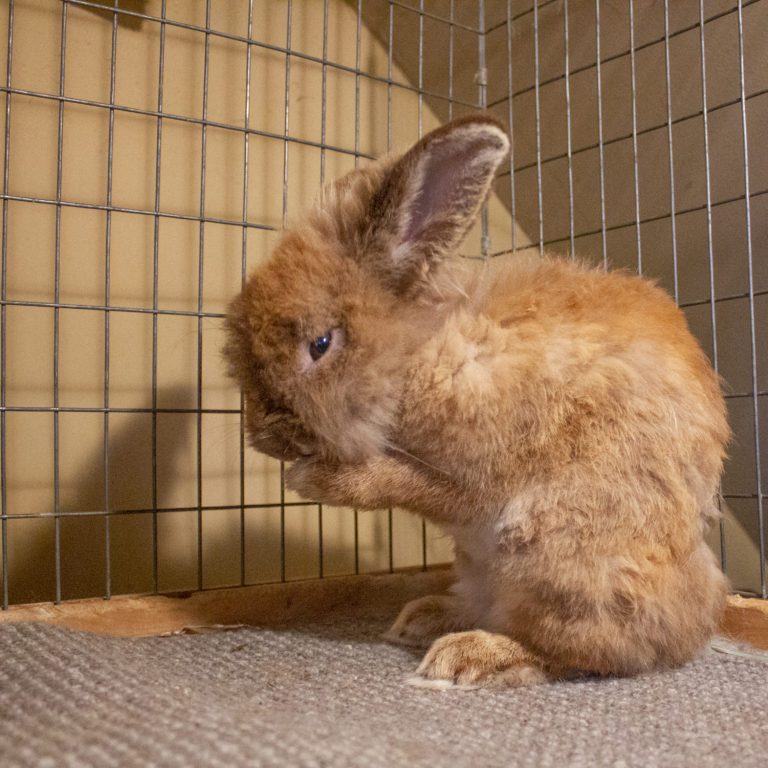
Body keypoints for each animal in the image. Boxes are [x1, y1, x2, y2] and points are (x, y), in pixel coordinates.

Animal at [225, 115, 728, 688]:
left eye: (321, 344)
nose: (265, 438)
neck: (421, 357)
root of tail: (699, 616)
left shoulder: (478, 475)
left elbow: (410, 484)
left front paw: (313, 480)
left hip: (560, 555)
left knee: (592, 651)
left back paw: (472, 655)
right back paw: (424, 617)